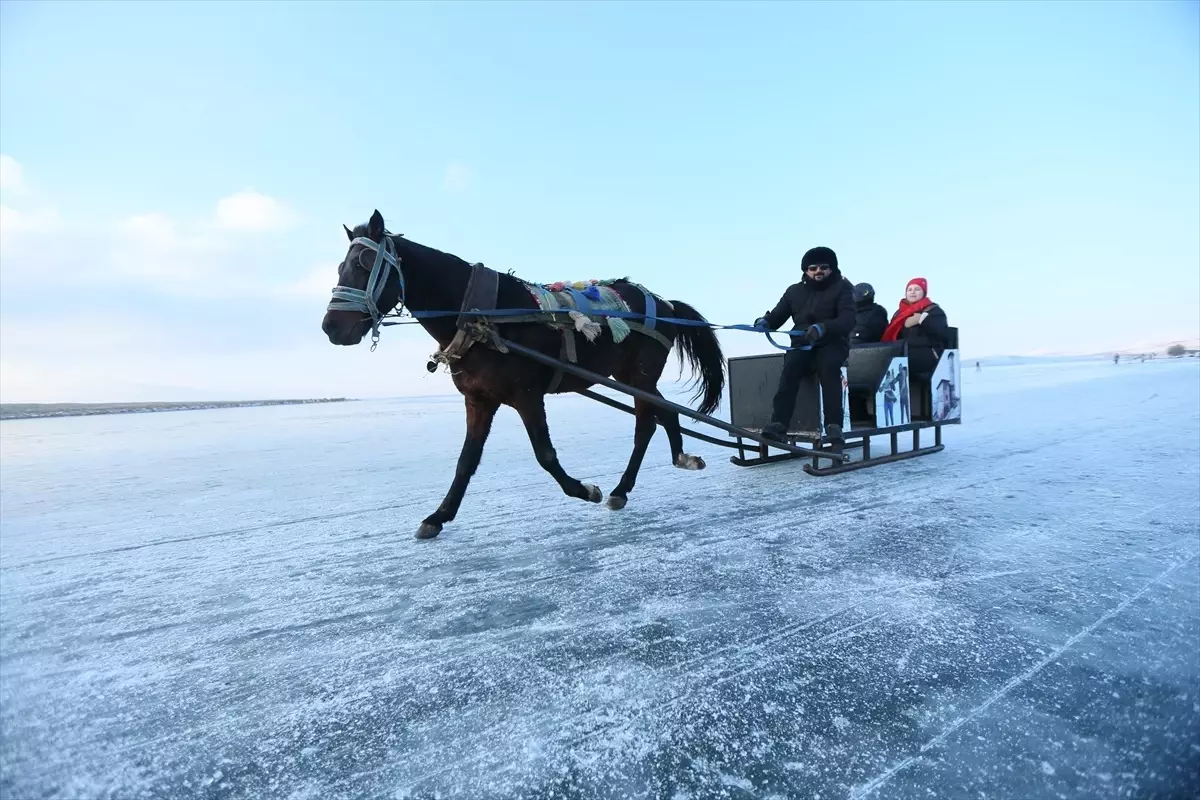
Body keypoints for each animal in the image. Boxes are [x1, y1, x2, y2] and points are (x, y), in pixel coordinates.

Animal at [319, 209, 724, 542]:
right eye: (340, 267)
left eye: (364, 264)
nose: (331, 327)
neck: (484, 317)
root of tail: (665, 303)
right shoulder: (479, 399)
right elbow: (466, 461)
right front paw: (439, 515)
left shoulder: (527, 394)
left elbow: (544, 454)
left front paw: (585, 490)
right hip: (631, 374)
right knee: (663, 412)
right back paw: (677, 459)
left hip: (639, 374)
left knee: (647, 423)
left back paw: (622, 488)